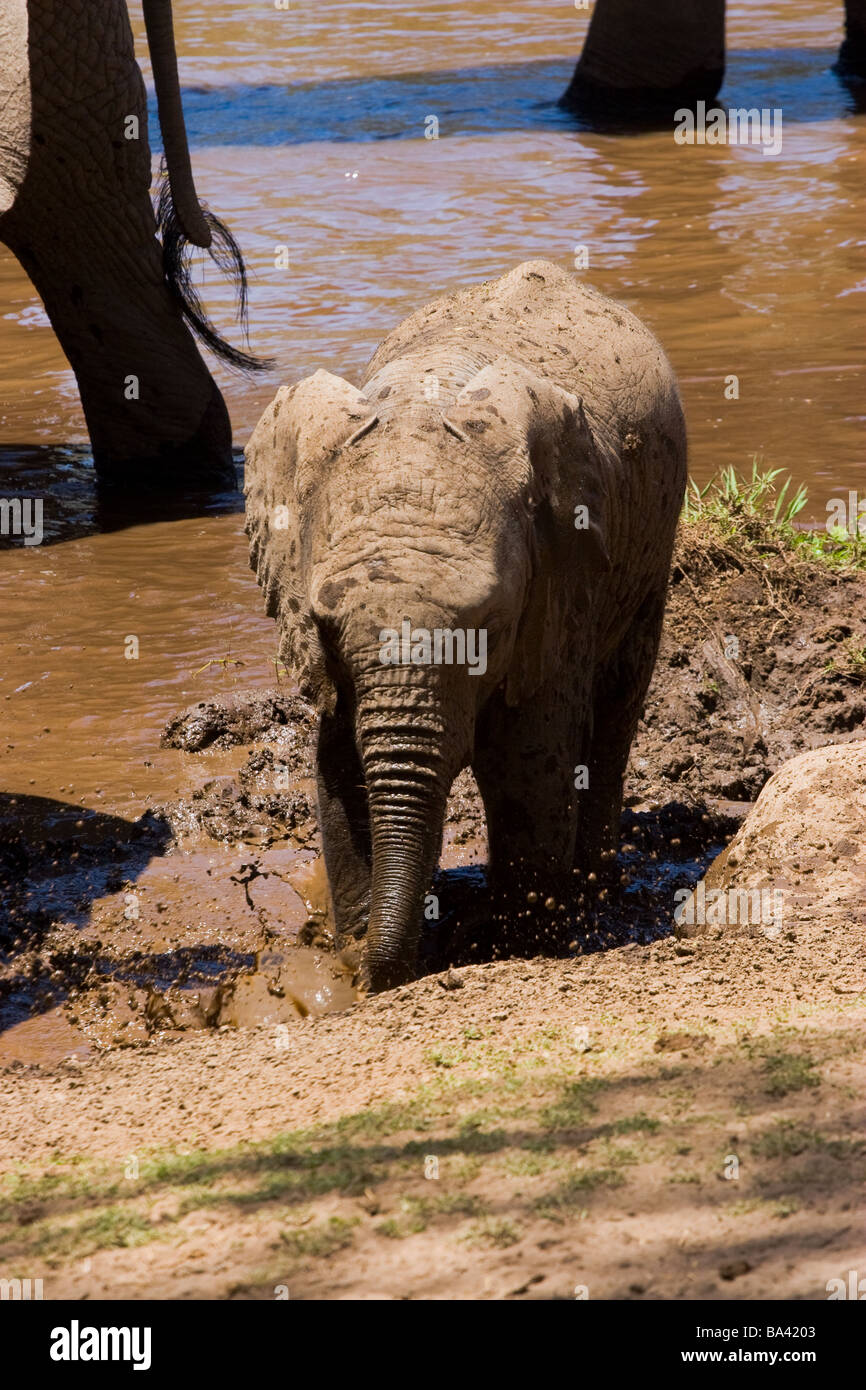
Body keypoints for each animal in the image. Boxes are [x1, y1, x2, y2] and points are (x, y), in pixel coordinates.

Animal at [247, 261, 686, 995]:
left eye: (490, 621)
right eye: (325, 624)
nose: (380, 974)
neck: (421, 397)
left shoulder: (556, 587)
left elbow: (530, 763)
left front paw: (514, 942)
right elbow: (337, 764)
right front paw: (357, 952)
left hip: (650, 553)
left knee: (617, 702)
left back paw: (597, 887)